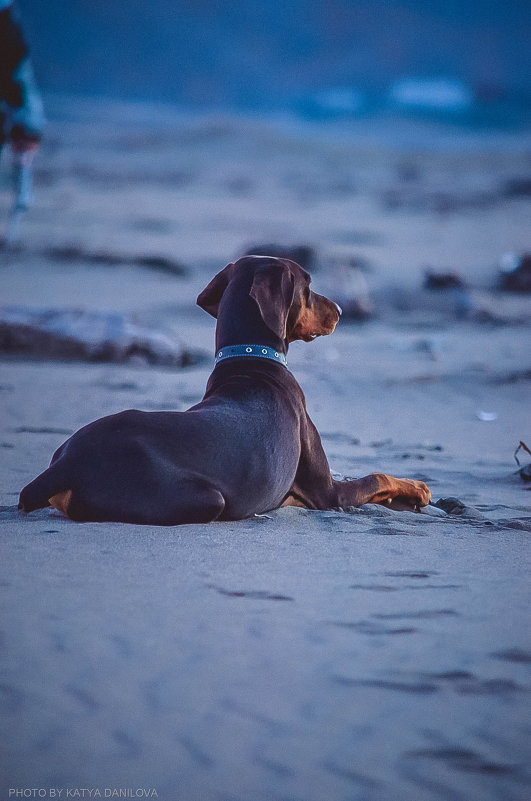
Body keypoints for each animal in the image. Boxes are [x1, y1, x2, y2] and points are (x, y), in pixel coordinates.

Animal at [18, 256, 432, 524]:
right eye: (309, 287)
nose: (342, 311)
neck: (251, 360)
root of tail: (67, 466)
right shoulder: (328, 493)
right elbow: (376, 477)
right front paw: (418, 487)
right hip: (205, 499)